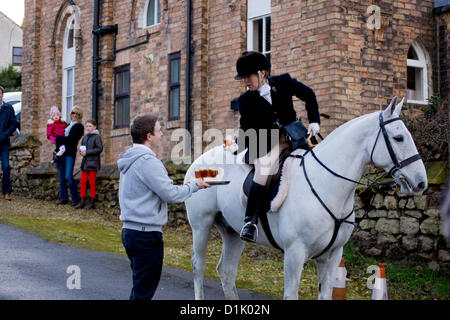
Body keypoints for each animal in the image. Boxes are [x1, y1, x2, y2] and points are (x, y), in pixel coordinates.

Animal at [185, 97, 428, 300]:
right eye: (398, 137)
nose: (421, 182)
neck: (326, 184)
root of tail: (199, 161)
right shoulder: (294, 254)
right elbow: (291, 294)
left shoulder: (332, 256)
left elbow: (325, 294)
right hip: (201, 225)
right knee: (199, 265)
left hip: (232, 232)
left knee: (226, 271)